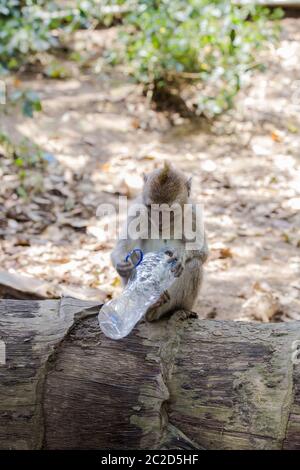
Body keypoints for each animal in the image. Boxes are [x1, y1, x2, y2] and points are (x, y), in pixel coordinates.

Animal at [110, 162, 209, 324]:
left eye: (170, 210)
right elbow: (123, 247)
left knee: (194, 264)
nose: (159, 221)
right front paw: (122, 265)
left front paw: (179, 255)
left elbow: (203, 252)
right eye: (151, 207)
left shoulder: (193, 213)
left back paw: (174, 309)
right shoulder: (137, 211)